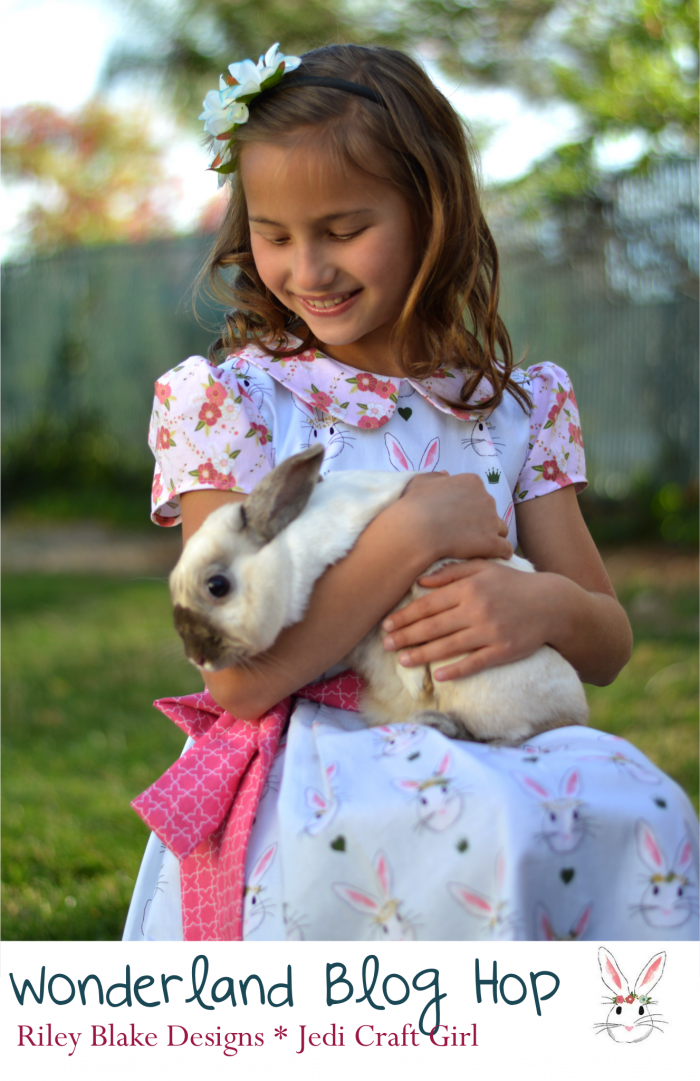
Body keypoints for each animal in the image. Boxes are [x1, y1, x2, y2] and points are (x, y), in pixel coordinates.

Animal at [170, 443, 591, 748]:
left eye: (217, 586)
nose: (196, 657)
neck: (292, 550)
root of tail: (577, 713)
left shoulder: (425, 571)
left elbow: (405, 622)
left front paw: (416, 682)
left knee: (511, 735)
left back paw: (436, 721)